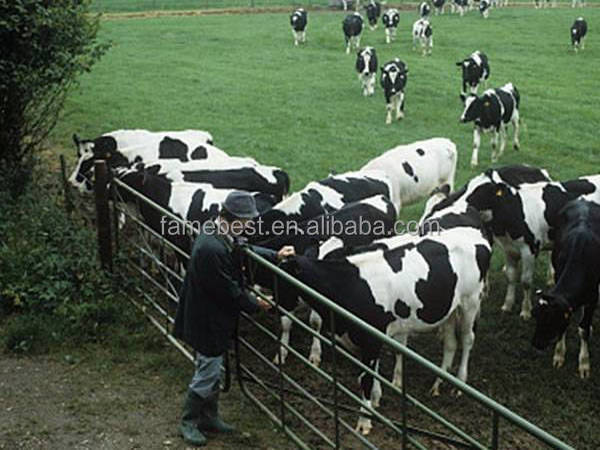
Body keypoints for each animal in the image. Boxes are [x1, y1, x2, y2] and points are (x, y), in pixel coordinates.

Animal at [536, 199, 600, 378]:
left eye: (550, 319)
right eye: (536, 316)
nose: (536, 344)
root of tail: (584, 200)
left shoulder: (593, 296)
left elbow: (583, 329)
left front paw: (584, 363)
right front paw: (559, 355)